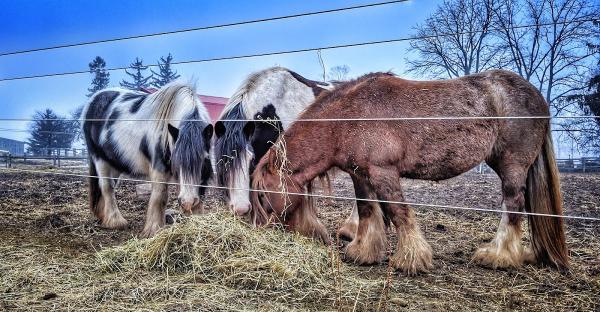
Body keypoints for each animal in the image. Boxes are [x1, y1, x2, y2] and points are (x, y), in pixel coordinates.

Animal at [82, 83, 213, 236]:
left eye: (204, 160)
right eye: (176, 161)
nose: (188, 202)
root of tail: (94, 100)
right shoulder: (159, 169)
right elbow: (160, 196)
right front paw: (154, 229)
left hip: (114, 163)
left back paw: (103, 216)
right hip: (100, 160)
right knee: (106, 187)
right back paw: (115, 221)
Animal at [252, 70, 568, 276]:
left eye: (264, 197)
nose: (262, 230)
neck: (349, 116)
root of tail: (537, 97)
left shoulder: (384, 173)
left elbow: (398, 213)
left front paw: (411, 260)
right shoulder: (361, 175)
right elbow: (367, 211)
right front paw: (364, 252)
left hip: (512, 165)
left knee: (513, 207)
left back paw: (498, 256)